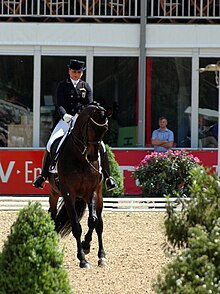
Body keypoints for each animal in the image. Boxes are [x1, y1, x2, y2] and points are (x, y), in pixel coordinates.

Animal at [49, 104, 112, 268]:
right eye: (90, 127)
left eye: (105, 129)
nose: (92, 157)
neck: (80, 158)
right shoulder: (68, 194)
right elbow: (76, 226)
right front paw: (82, 259)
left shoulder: (92, 192)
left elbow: (93, 221)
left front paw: (87, 247)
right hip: (55, 193)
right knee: (52, 214)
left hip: (98, 196)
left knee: (99, 223)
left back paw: (100, 255)